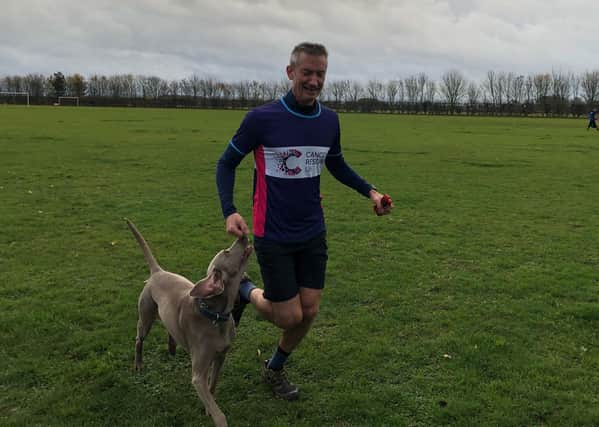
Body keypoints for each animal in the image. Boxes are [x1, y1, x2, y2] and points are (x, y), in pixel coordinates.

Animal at [127, 221, 253, 427]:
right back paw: (138, 364)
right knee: (139, 339)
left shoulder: (221, 356)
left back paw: (172, 348)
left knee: (170, 328)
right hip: (145, 315)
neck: (216, 316)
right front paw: (216, 415)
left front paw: (208, 407)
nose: (242, 234)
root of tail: (158, 271)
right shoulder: (198, 375)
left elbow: (212, 385)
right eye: (227, 251)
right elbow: (219, 413)